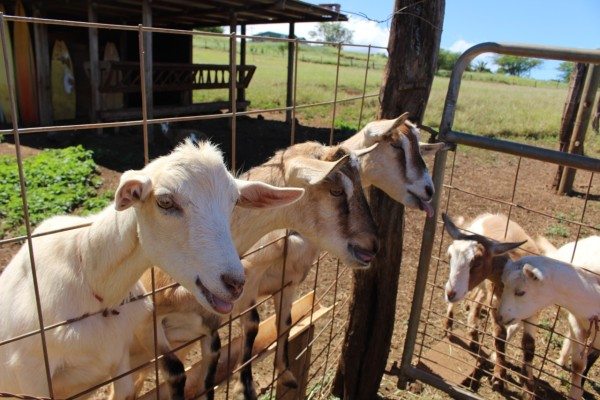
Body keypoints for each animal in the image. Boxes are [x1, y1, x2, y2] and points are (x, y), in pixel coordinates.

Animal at [0, 142, 302, 398]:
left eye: (234, 201)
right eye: (165, 201)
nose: (235, 282)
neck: (93, 283)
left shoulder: (119, 360)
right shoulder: (31, 375)